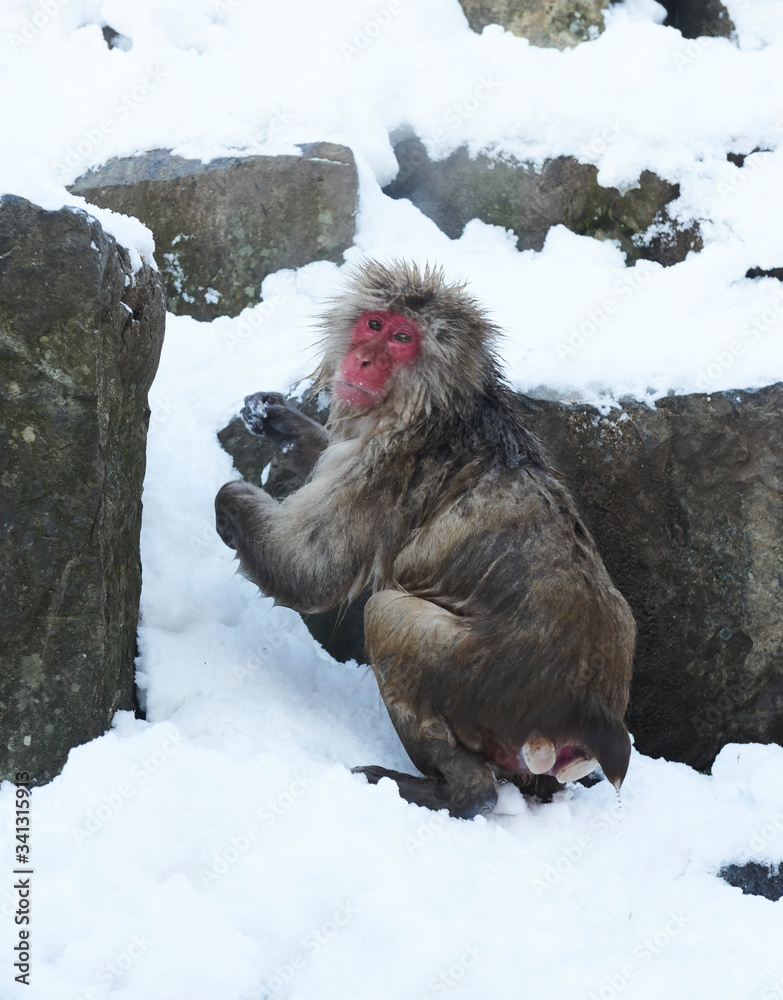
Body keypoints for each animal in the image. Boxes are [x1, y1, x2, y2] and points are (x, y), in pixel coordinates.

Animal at [215, 260, 635, 819]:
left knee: (387, 616)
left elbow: (308, 571)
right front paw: (280, 421)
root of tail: (595, 710)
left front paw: (231, 500)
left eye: (401, 338)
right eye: (373, 324)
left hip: (479, 681)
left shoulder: (388, 467)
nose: (363, 359)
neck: (434, 406)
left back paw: (447, 791)